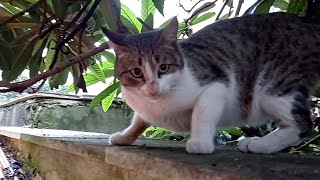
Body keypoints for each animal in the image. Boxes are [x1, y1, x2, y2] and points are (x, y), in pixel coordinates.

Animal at [102, 11, 320, 154]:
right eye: (136, 72)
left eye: (163, 68)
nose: (153, 88)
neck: (159, 105)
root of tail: (307, 23)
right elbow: (139, 121)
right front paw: (125, 136)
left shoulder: (216, 85)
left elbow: (202, 113)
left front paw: (200, 143)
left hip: (275, 85)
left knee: (301, 125)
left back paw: (259, 145)